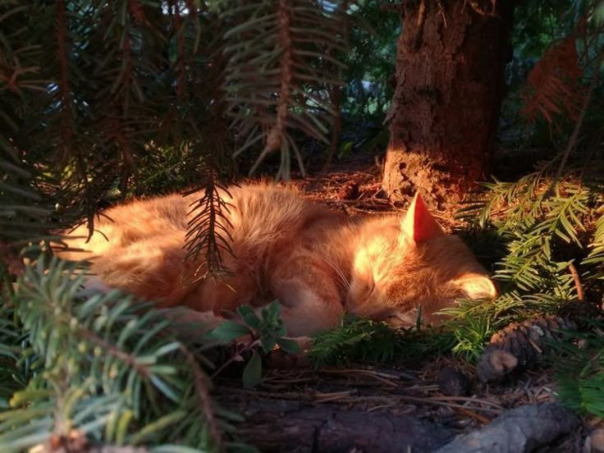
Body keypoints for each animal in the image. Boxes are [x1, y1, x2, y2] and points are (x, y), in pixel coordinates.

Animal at [55, 183, 496, 337]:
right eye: (371, 280)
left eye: (397, 317)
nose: (360, 315)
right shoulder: (296, 258)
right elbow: (325, 312)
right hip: (187, 249)